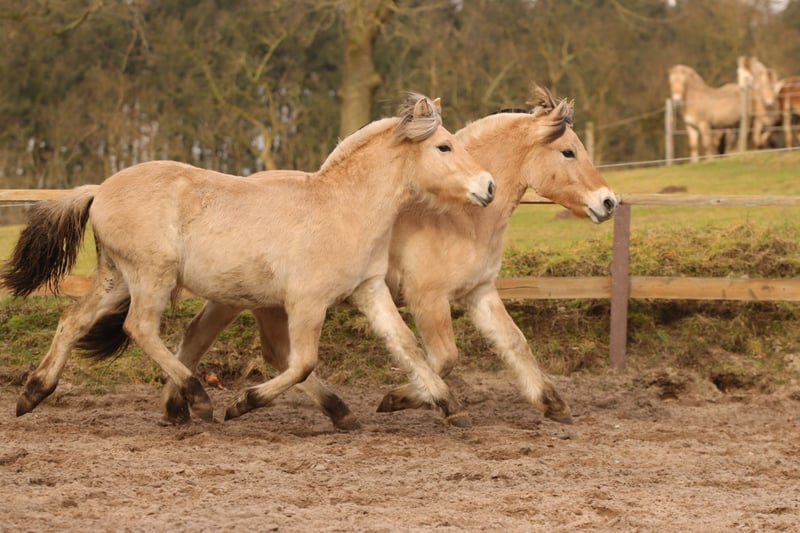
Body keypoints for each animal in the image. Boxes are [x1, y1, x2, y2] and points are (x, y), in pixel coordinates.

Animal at [1, 93, 497, 426]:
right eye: (444, 147)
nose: (488, 187)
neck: (343, 207)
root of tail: (100, 189)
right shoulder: (306, 303)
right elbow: (302, 362)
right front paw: (243, 403)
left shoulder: (368, 290)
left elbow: (407, 346)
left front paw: (448, 406)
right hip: (151, 276)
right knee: (140, 328)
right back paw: (198, 399)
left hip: (116, 279)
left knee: (73, 320)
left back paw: (32, 395)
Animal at [160, 86, 618, 430]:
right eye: (569, 152)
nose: (609, 202)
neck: (457, 217)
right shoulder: (427, 299)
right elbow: (442, 357)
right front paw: (401, 399)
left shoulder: (479, 294)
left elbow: (514, 344)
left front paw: (553, 404)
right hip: (243, 297)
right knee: (221, 343)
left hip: (252, 298)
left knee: (224, 343)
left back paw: (186, 409)